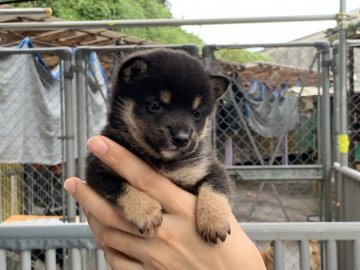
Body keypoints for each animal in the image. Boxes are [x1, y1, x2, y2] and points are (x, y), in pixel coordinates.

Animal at [87, 49, 233, 245]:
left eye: (197, 114)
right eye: (155, 106)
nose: (181, 138)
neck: (159, 161)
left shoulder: (208, 167)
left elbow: (215, 187)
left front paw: (214, 221)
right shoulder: (97, 169)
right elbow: (121, 187)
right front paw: (146, 212)